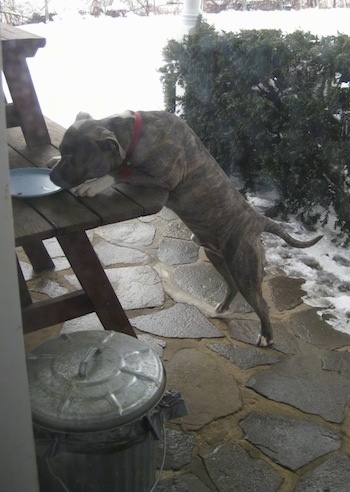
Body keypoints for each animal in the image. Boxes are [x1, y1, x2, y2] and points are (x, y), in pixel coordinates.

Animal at [50, 109, 322, 346]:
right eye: (62, 151)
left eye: (75, 158)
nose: (52, 176)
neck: (137, 133)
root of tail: (257, 220)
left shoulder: (163, 178)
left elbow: (120, 171)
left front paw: (93, 184)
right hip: (216, 256)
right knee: (231, 285)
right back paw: (222, 309)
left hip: (245, 270)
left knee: (261, 304)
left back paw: (266, 336)